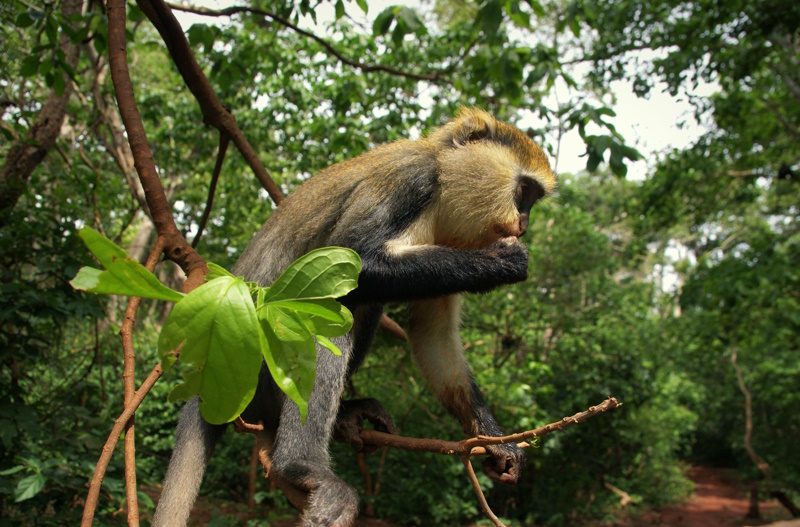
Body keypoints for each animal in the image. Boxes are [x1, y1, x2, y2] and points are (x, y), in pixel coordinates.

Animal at [155, 108, 556, 527]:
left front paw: (496, 441)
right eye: (524, 193)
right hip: (259, 365)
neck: (443, 182)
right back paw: (300, 466)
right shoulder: (412, 178)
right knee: (330, 310)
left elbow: (432, 335)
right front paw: (503, 261)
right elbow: (352, 262)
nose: (524, 223)